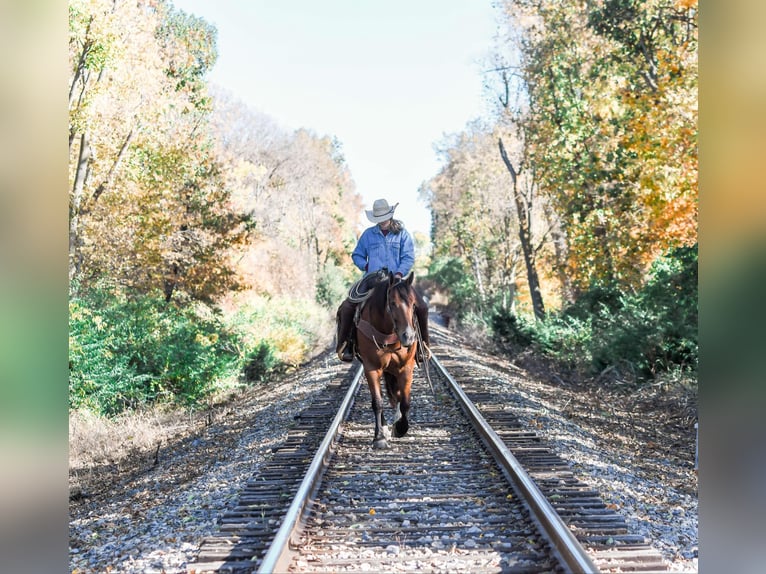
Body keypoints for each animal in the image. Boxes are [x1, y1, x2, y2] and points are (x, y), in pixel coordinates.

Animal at [356, 270, 424, 450]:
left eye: (413, 304)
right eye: (392, 303)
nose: (408, 337)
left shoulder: (406, 367)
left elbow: (405, 401)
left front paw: (400, 427)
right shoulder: (371, 367)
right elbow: (377, 402)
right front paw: (379, 437)